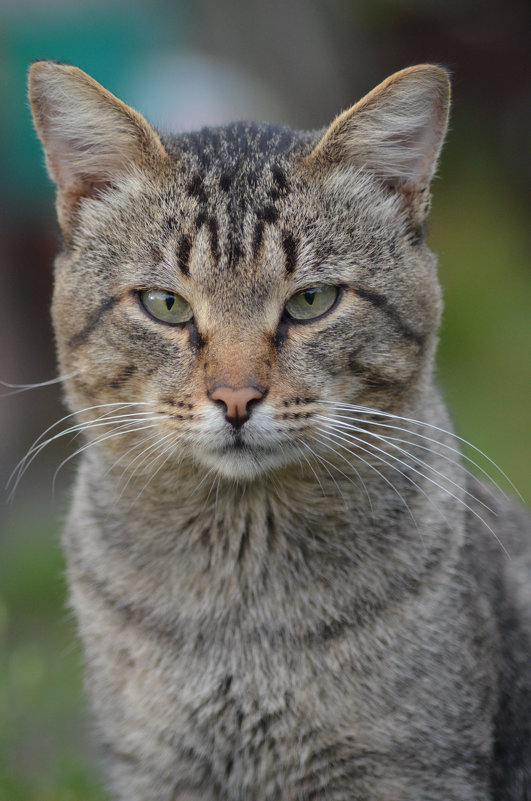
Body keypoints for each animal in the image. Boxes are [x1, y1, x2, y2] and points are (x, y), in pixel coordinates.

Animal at [27, 61, 528, 800]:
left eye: (311, 300)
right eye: (166, 304)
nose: (236, 398)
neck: (240, 613)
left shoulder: (411, 769)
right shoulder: (156, 768)